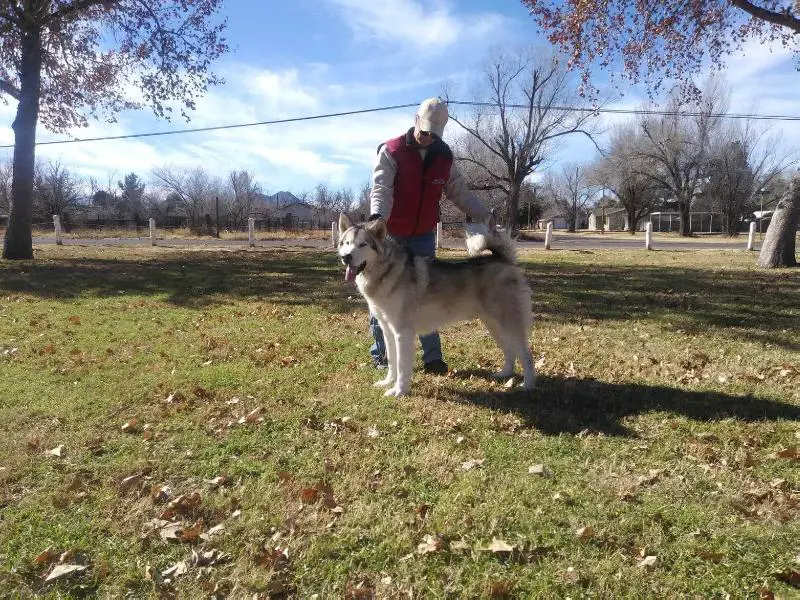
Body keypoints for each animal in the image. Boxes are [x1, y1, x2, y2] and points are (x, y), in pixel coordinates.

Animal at [338, 213, 536, 396]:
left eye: (363, 244)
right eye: (346, 243)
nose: (347, 257)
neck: (385, 272)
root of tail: (502, 259)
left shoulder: (403, 333)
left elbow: (402, 366)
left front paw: (399, 391)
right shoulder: (387, 331)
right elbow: (392, 363)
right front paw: (388, 383)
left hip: (509, 324)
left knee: (526, 356)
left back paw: (527, 385)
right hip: (494, 326)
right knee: (510, 352)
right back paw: (504, 374)